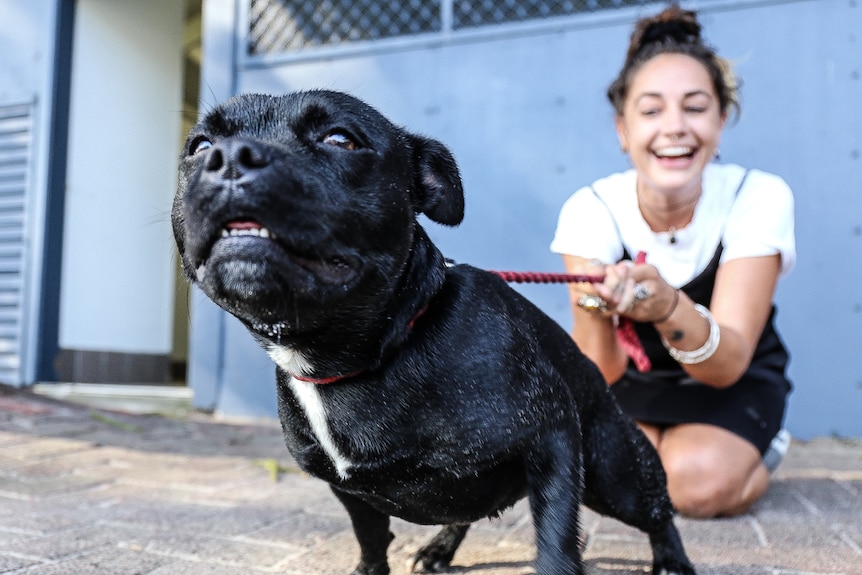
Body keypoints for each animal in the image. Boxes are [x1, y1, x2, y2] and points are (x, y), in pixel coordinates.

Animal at [172, 90, 700, 575]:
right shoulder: (347, 490)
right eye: (199, 146)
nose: (229, 157)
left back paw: (673, 561)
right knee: (465, 513)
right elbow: (370, 537)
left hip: (615, 475)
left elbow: (555, 545)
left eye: (340, 139)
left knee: (657, 514)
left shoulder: (551, 437)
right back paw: (440, 549)